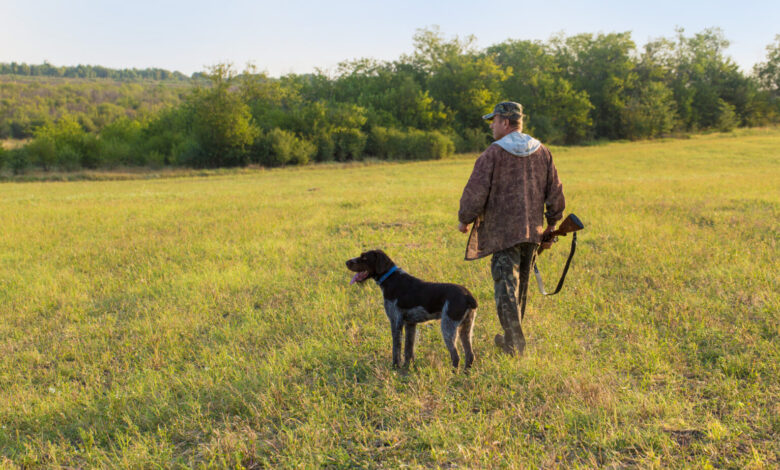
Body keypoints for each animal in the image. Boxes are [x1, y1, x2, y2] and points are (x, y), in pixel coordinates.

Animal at [346, 250, 478, 370]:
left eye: (364, 257)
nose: (346, 262)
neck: (390, 278)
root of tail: (468, 296)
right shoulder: (410, 324)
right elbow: (408, 349)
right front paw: (407, 367)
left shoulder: (396, 321)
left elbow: (396, 348)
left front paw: (395, 367)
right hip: (466, 329)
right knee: (470, 355)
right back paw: (465, 373)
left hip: (448, 328)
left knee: (456, 356)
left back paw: (453, 374)